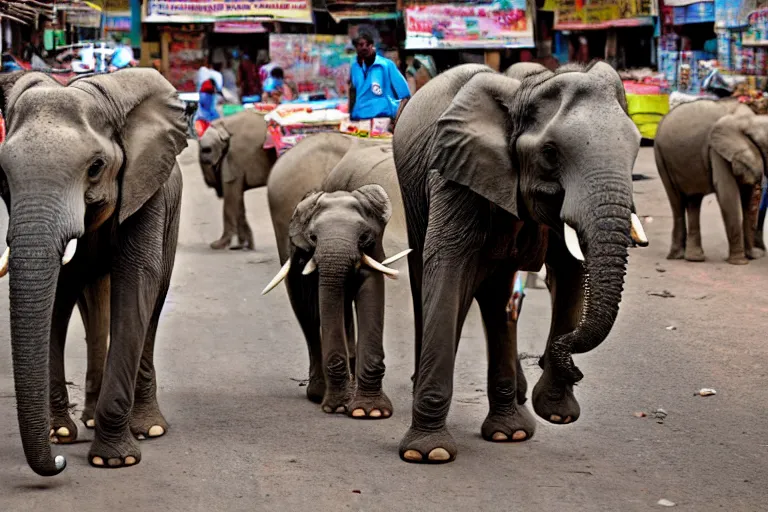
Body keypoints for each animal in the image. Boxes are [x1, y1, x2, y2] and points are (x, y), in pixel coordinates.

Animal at [0, 69, 188, 476]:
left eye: (96, 166)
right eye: (2, 176)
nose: (57, 464)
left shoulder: (146, 191)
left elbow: (137, 283)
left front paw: (114, 459)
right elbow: (58, 293)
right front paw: (60, 435)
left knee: (154, 300)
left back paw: (149, 427)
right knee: (86, 303)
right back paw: (79, 423)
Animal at [198, 109, 276, 250]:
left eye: (206, 150)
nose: (209, 182)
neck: (222, 126)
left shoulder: (235, 156)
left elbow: (231, 194)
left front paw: (217, 245)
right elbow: (237, 197)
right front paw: (244, 245)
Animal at [262, 134, 412, 418]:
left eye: (364, 236)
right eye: (312, 237)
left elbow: (369, 287)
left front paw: (370, 411)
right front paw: (341, 405)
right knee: (305, 306)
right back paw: (319, 393)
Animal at [390, 63, 648, 464]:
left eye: (637, 148)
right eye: (551, 152)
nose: (575, 372)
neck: (525, 91)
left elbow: (571, 269)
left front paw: (556, 413)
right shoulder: (456, 174)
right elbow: (446, 267)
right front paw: (427, 453)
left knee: (497, 295)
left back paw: (509, 431)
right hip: (411, 192)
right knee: (427, 279)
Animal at [656, 97, 768, 264]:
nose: (758, 253)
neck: (749, 120)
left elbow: (746, 196)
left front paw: (752, 256)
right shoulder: (716, 151)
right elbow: (727, 194)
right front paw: (740, 262)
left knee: (694, 200)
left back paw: (694, 258)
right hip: (661, 158)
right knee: (676, 202)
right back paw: (677, 257)